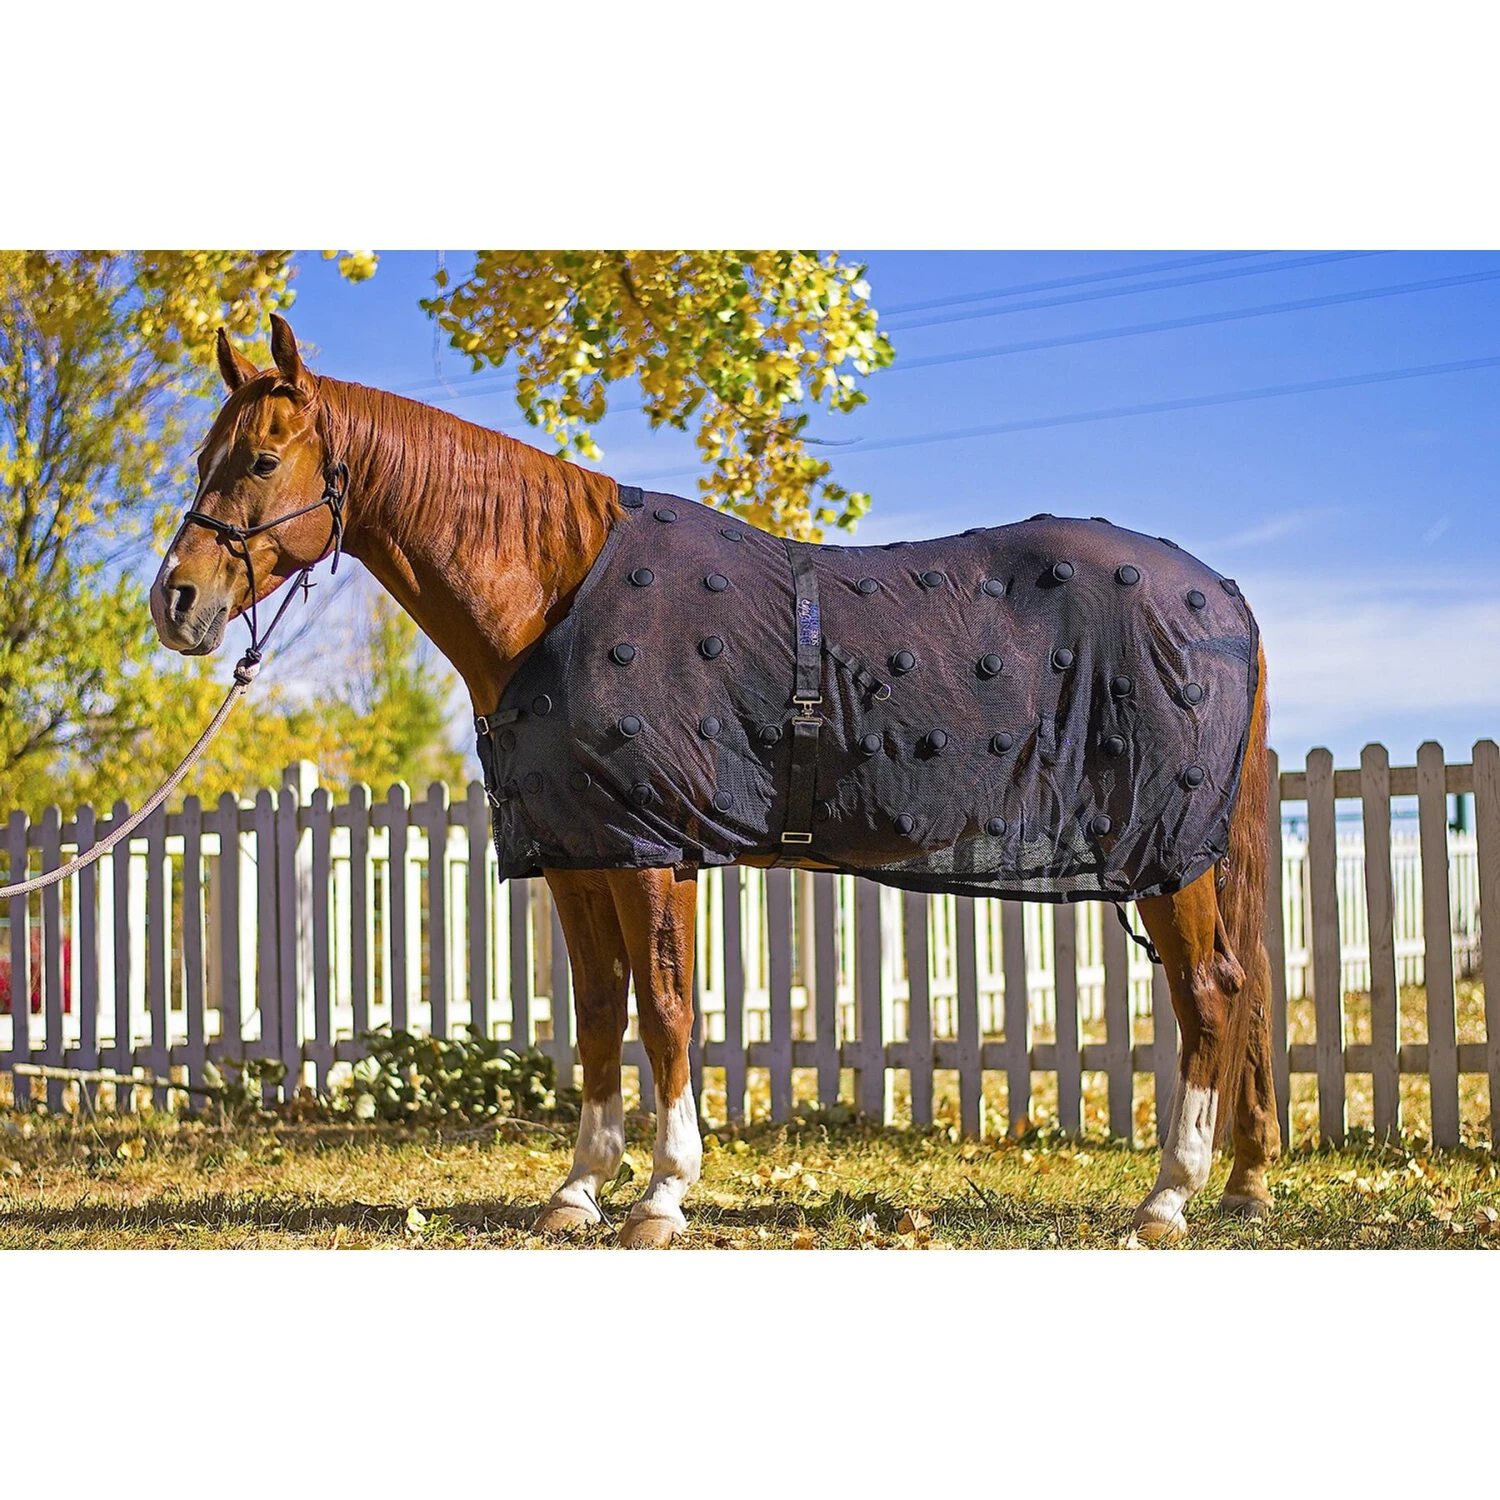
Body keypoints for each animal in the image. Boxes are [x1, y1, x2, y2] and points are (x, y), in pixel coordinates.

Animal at [151, 315, 1278, 1246]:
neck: (557, 595)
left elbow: (665, 1009)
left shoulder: (654, 849)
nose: (177, 602)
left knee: (1210, 992)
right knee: (1249, 990)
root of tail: (1220, 594)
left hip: (1166, 848)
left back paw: (1167, 1199)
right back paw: (1243, 1183)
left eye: (262, 458)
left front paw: (661, 1194)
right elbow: (598, 1014)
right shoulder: (579, 850)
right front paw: (577, 1191)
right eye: (204, 457)